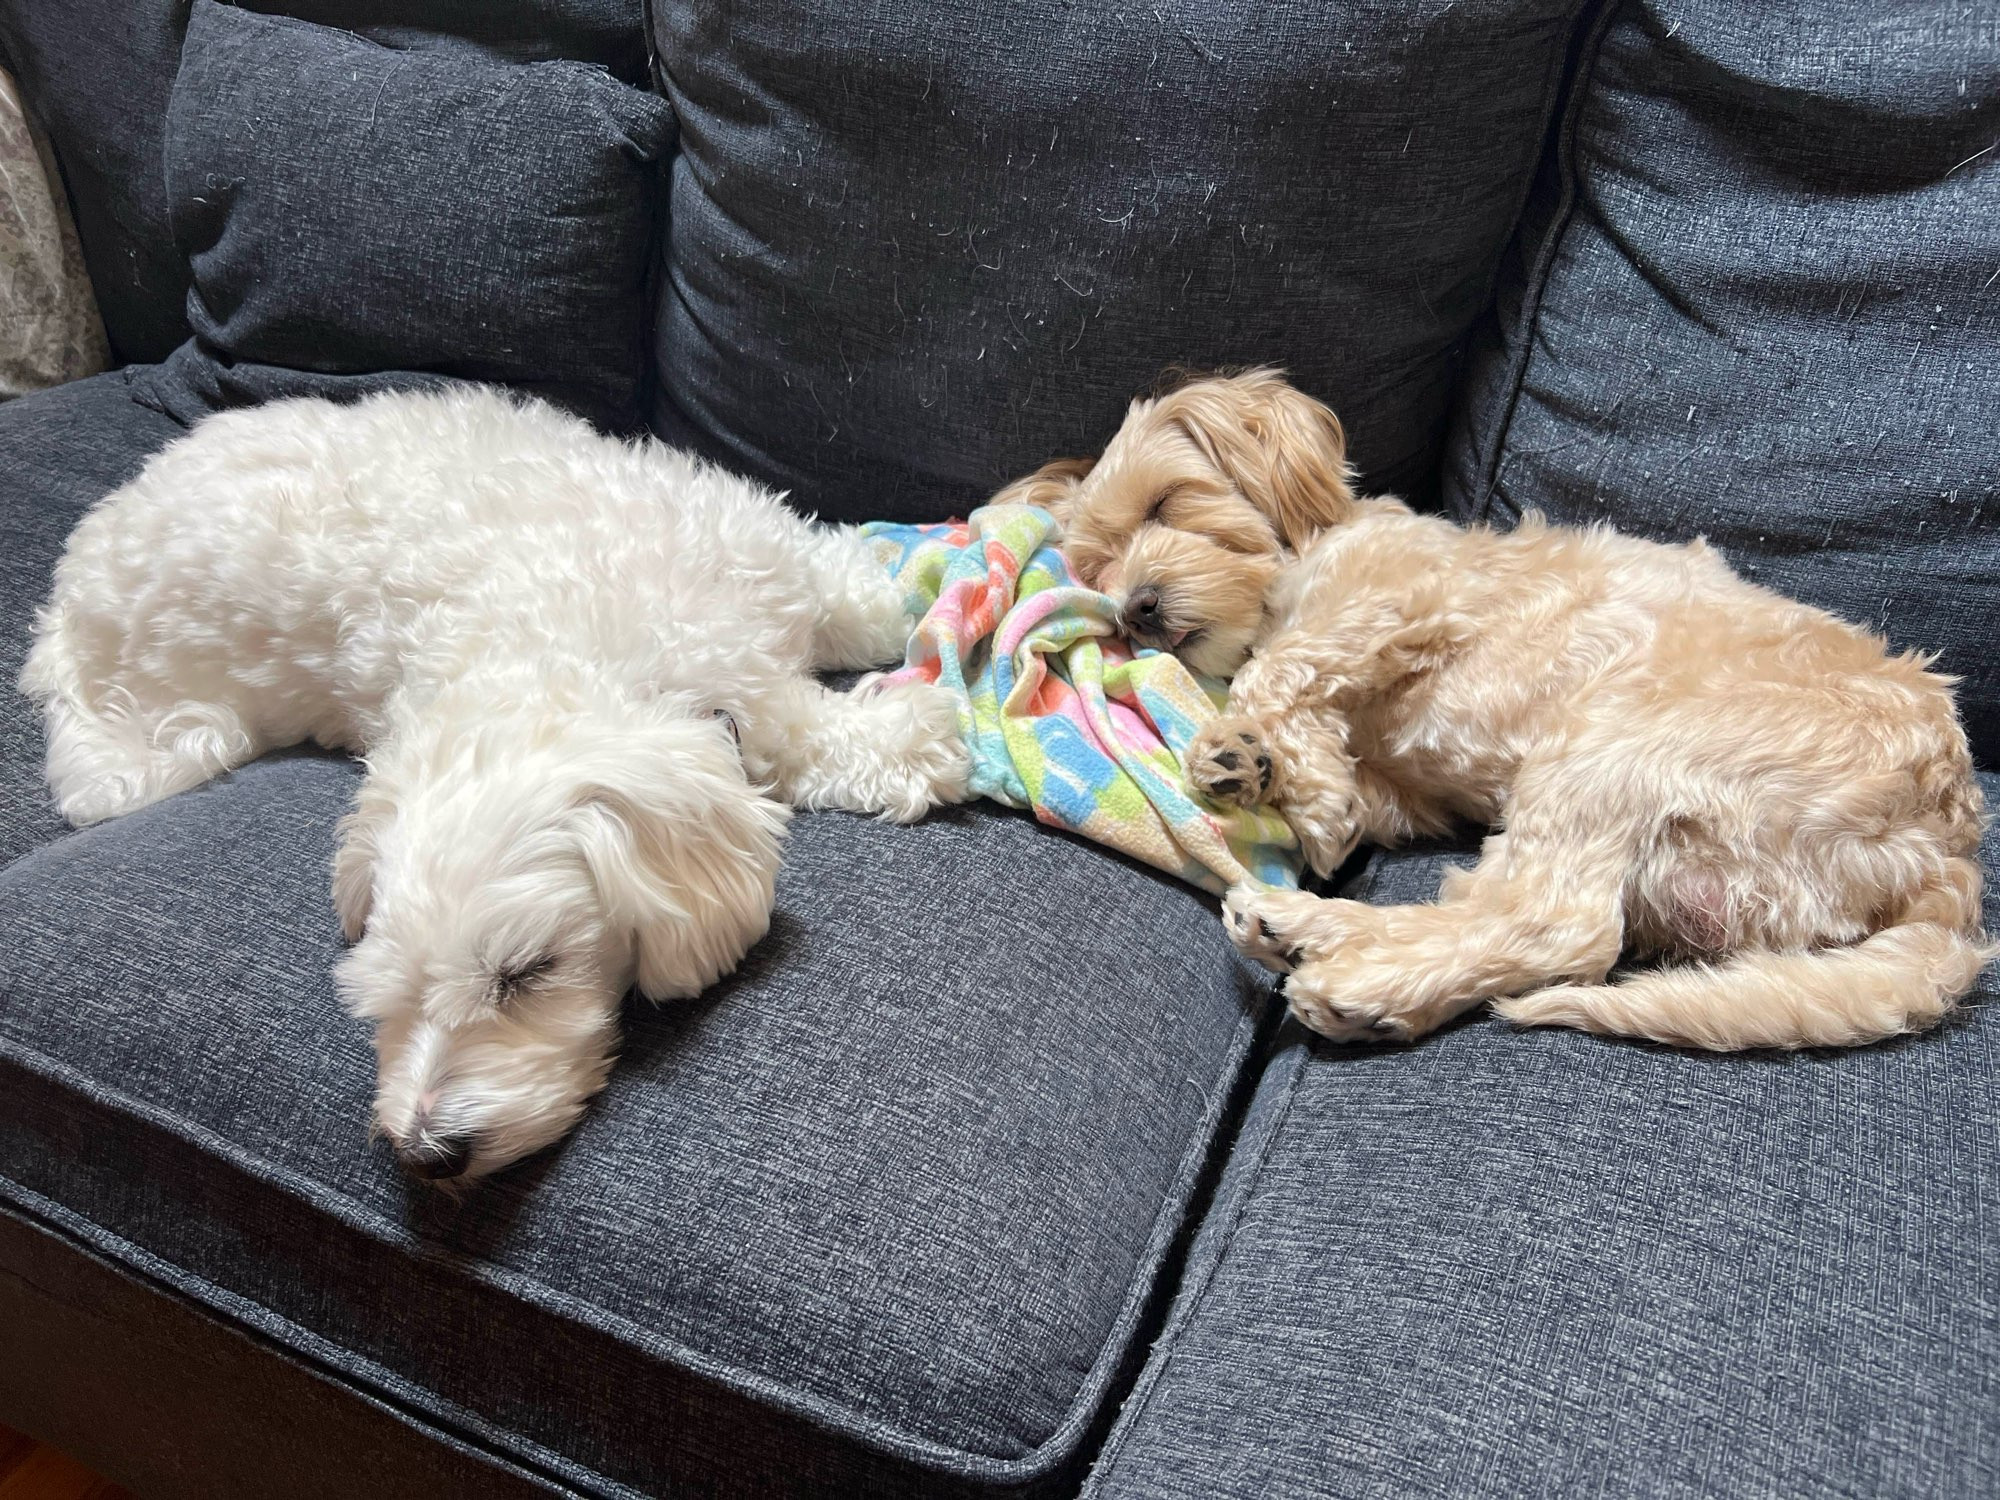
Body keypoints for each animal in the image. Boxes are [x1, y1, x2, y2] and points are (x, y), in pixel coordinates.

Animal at [23, 388, 968, 1184]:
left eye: (525, 972)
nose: (425, 1155)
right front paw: (909, 735)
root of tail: (63, 610)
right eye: (383, 997)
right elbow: (800, 730)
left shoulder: (746, 561)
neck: (568, 647)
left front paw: (880, 594)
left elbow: (845, 604)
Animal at [1024, 374, 1992, 1056]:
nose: (1139, 608)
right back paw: (1306, 931)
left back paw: (1360, 983)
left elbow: (1282, 667)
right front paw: (1273, 770)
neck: (1298, 559)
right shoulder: (1407, 791)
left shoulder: (1396, 599)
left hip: (1614, 743)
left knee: (1562, 928)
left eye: (1165, 504)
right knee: (1505, 912)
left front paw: (1262, 762)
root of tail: (1945, 859)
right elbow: (1341, 768)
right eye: (1098, 568)